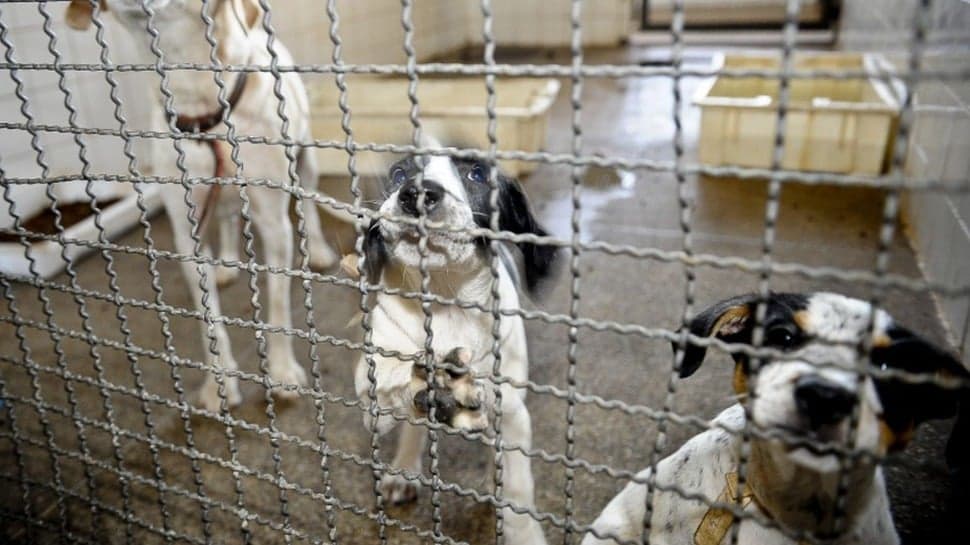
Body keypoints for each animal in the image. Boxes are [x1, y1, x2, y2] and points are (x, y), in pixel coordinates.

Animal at [352, 146, 556, 544]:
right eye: (399, 174)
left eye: (476, 175)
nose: (415, 193)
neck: (446, 300)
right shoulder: (373, 388)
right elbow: (389, 385)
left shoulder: (513, 412)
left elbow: (519, 485)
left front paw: (523, 532)